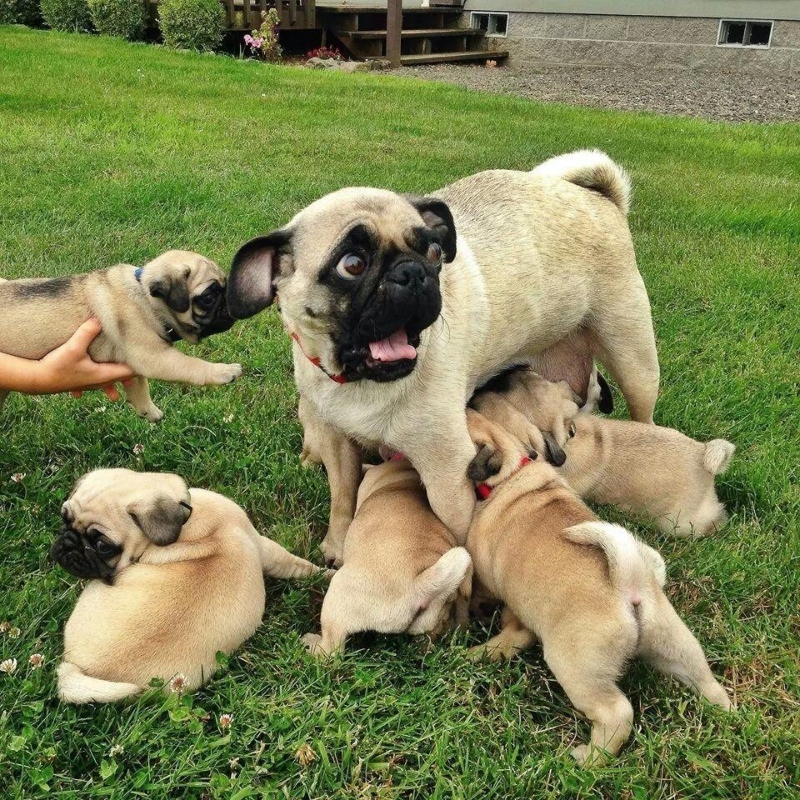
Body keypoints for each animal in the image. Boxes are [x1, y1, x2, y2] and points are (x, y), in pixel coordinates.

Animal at [52, 466, 324, 704]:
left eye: (103, 546)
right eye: (64, 518)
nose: (68, 544)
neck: (186, 519)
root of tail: (84, 672)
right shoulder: (260, 544)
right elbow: (291, 562)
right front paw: (322, 573)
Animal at [228, 150, 660, 564]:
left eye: (435, 252)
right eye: (352, 265)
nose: (413, 272)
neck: (362, 381)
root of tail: (600, 199)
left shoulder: (448, 472)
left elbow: (457, 530)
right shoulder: (337, 441)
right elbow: (343, 498)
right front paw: (337, 545)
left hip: (633, 357)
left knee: (643, 410)